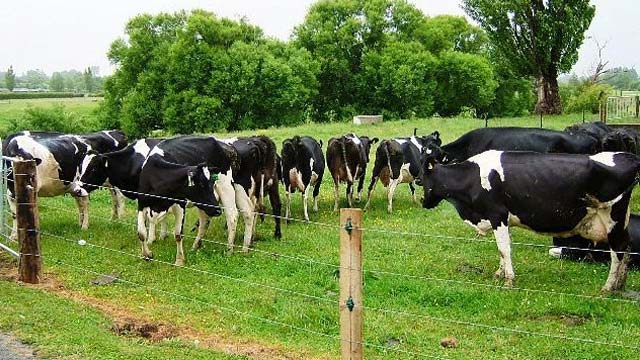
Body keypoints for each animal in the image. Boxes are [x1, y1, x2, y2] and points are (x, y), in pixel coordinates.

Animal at [136, 135, 236, 264]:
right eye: (201, 184)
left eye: (211, 183)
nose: (217, 210)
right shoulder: (142, 203)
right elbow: (141, 233)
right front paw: (147, 254)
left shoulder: (180, 204)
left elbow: (178, 234)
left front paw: (179, 260)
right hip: (204, 204)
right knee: (204, 221)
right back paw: (195, 246)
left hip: (225, 186)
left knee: (232, 217)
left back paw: (229, 250)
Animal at [422, 150, 636, 292]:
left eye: (421, 181)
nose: (423, 203)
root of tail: (627, 156)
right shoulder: (503, 219)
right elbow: (503, 248)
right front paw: (499, 273)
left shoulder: (497, 214)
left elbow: (503, 249)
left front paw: (508, 280)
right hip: (621, 222)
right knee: (627, 247)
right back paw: (620, 284)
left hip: (613, 219)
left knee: (617, 251)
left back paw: (608, 287)